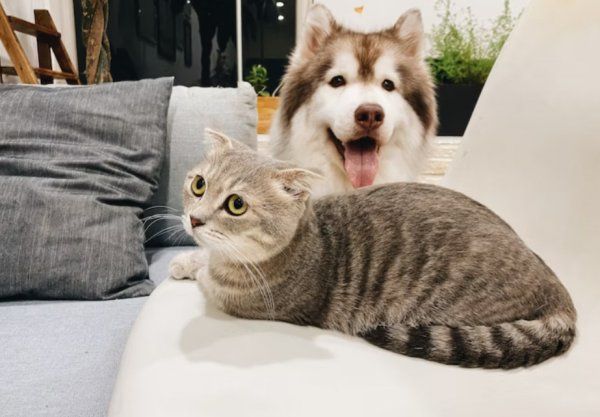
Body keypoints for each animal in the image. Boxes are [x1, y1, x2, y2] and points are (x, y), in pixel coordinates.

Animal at [170, 129, 576, 369]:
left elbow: (209, 277)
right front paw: (185, 260)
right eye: (199, 184)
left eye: (236, 205)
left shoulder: (241, 301)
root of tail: (556, 289)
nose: (195, 220)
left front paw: (195, 265)